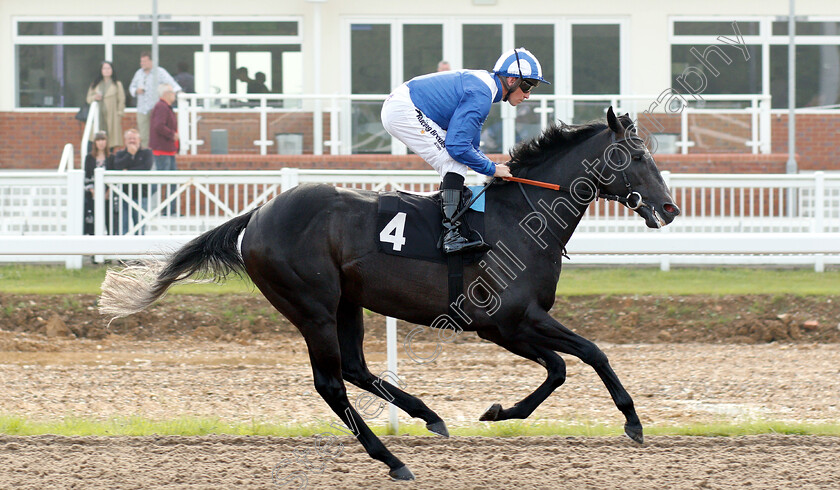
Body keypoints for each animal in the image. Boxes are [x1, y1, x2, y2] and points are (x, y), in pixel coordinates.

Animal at [101, 108, 684, 482]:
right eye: (634, 155)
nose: (671, 208)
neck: (521, 216)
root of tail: (259, 214)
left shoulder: (513, 324)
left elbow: (569, 362)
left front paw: (501, 411)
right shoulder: (504, 322)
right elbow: (581, 356)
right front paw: (629, 420)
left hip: (347, 303)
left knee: (356, 367)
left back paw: (428, 416)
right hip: (312, 307)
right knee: (331, 383)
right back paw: (392, 459)